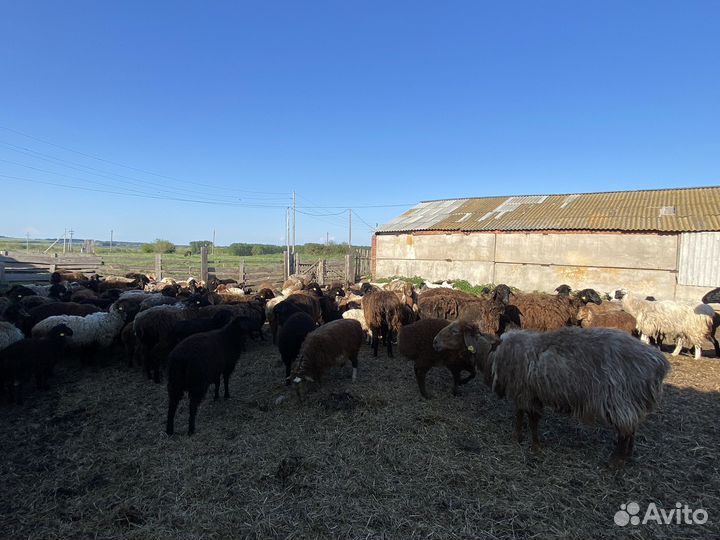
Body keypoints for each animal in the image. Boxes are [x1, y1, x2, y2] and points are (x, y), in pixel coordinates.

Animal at [433, 322, 671, 465]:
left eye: (454, 331)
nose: (434, 341)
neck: (493, 353)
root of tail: (659, 363)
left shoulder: (524, 391)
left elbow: (531, 418)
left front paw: (535, 445)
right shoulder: (525, 392)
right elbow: (521, 415)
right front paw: (518, 437)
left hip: (620, 398)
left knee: (625, 430)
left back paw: (615, 462)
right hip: (631, 401)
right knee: (632, 429)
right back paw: (626, 457)